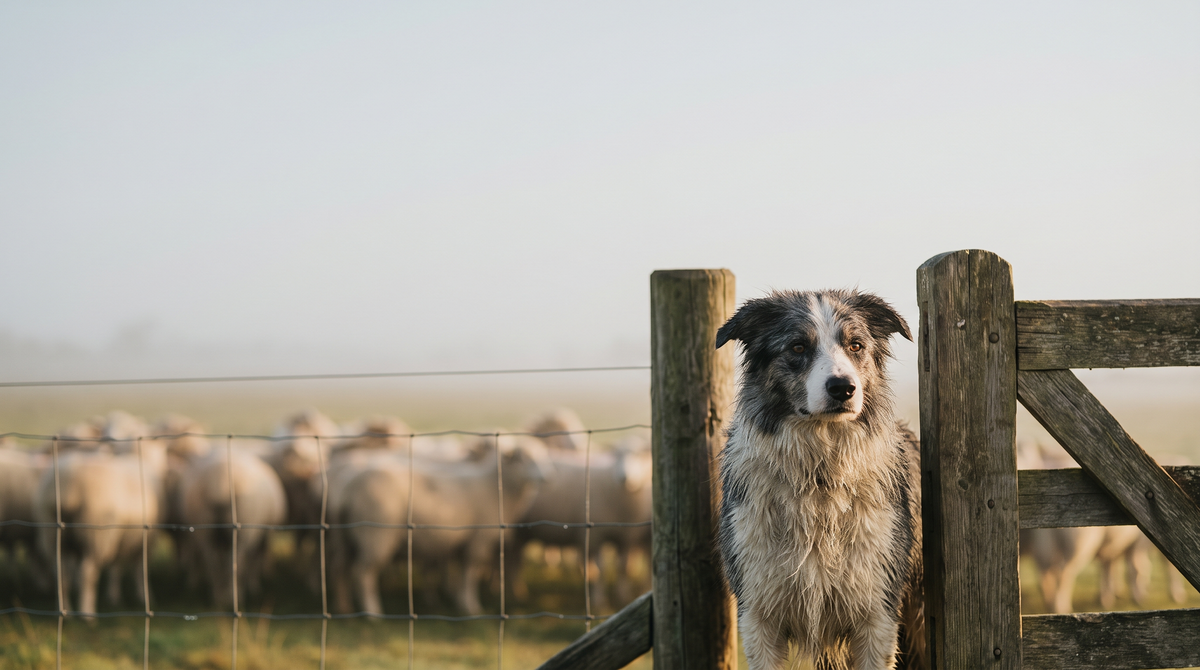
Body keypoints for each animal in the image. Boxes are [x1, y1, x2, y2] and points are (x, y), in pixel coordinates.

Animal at [176, 448, 287, 609]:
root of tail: (219, 482)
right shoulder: (262, 536)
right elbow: (255, 559)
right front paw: (254, 586)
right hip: (243, 531)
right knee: (237, 562)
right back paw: (234, 596)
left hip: (203, 528)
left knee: (212, 561)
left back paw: (218, 597)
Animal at [334, 433, 550, 616]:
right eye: (522, 458)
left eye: (543, 454)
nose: (545, 476)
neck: (496, 487)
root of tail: (348, 490)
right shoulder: (477, 541)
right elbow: (469, 573)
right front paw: (470, 606)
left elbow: (460, 573)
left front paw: (457, 599)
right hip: (375, 536)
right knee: (362, 573)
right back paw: (373, 612)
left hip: (346, 538)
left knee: (342, 569)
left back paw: (344, 607)